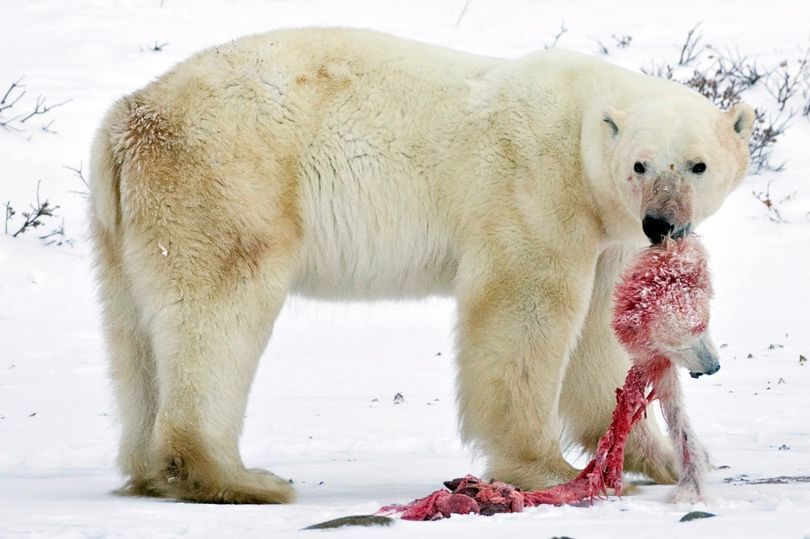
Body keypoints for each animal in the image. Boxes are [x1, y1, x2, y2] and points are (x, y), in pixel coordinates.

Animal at [88, 27, 752, 504]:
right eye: (641, 164)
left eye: (697, 165)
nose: (662, 223)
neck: (582, 126)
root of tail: (128, 118)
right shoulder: (535, 188)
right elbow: (523, 311)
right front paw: (544, 468)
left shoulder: (607, 233)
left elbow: (598, 339)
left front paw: (663, 459)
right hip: (228, 181)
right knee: (218, 313)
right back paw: (237, 479)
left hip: (126, 225)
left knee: (134, 333)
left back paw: (151, 471)